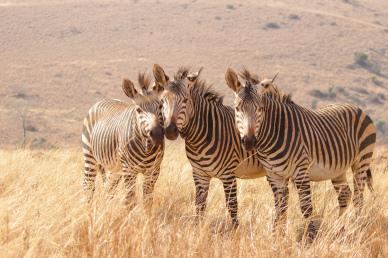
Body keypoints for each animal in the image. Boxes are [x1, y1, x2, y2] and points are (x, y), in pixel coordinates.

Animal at [81, 73, 164, 206]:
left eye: (160, 106)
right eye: (138, 110)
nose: (156, 134)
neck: (146, 148)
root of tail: (103, 100)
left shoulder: (154, 171)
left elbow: (148, 200)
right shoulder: (129, 170)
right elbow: (130, 200)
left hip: (115, 168)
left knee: (109, 187)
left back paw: (108, 208)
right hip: (90, 156)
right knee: (88, 185)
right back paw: (87, 209)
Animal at [152, 64, 266, 228]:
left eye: (185, 100)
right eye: (162, 101)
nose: (170, 131)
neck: (199, 138)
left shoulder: (228, 174)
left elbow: (232, 206)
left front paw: (236, 231)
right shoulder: (200, 174)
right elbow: (200, 205)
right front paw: (198, 229)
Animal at [224, 67, 376, 239]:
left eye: (260, 109)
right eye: (237, 108)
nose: (249, 142)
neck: (275, 134)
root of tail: (356, 107)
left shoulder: (301, 171)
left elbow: (306, 208)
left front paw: (310, 237)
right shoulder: (274, 175)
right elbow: (280, 208)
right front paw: (277, 237)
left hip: (361, 161)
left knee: (358, 197)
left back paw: (357, 228)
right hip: (338, 168)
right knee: (345, 194)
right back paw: (339, 228)